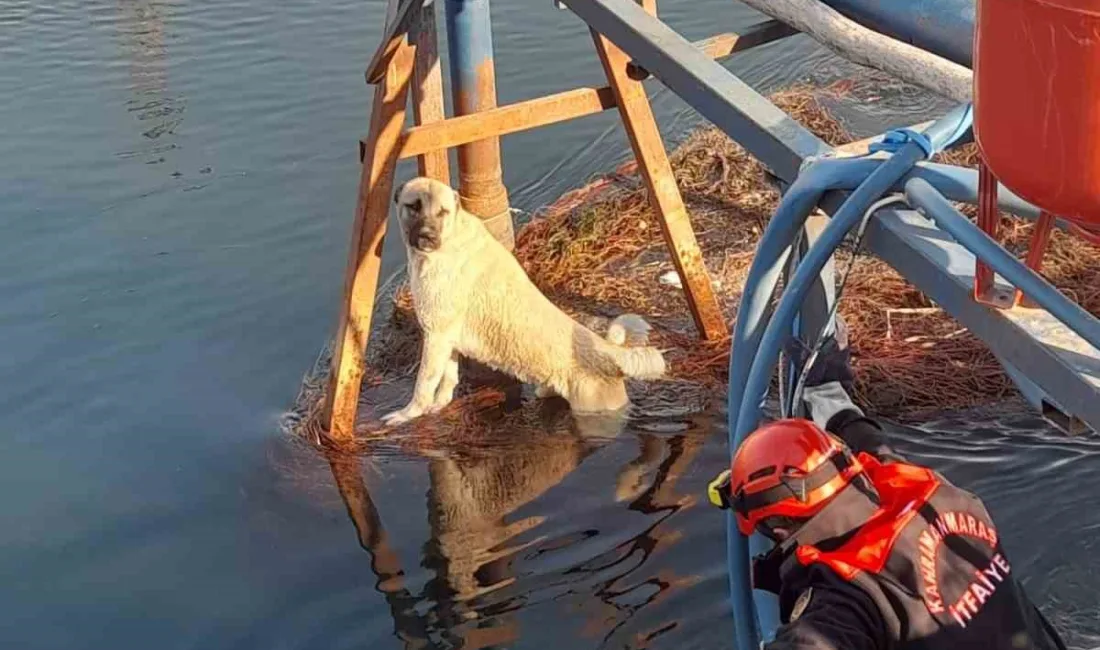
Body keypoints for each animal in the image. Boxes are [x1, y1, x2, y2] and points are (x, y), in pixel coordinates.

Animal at [382, 175, 664, 426]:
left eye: (442, 212)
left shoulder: (436, 336)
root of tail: (610, 354)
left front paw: (406, 415)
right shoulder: (447, 338)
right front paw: (439, 405)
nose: (427, 236)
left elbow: (423, 384)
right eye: (413, 206)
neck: (450, 239)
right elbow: (447, 378)